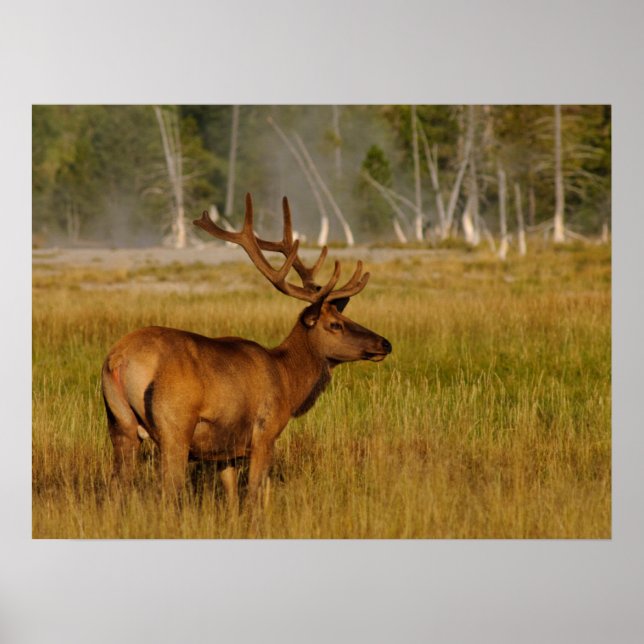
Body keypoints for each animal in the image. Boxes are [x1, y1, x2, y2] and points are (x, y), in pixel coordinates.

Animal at [101, 193, 392, 509]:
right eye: (335, 324)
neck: (287, 381)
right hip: (174, 426)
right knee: (169, 490)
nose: (384, 343)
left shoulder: (225, 451)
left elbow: (231, 498)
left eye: (346, 317)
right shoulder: (265, 433)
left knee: (116, 488)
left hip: (120, 424)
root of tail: (118, 360)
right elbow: (253, 494)